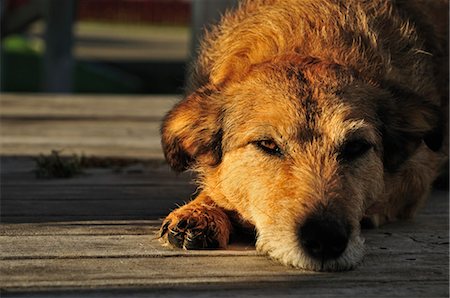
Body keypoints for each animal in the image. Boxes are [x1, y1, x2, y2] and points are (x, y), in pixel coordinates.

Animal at [157, 0, 446, 272]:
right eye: (267, 144)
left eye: (356, 147)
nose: (325, 239)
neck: (308, 37)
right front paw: (201, 210)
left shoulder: (418, 172)